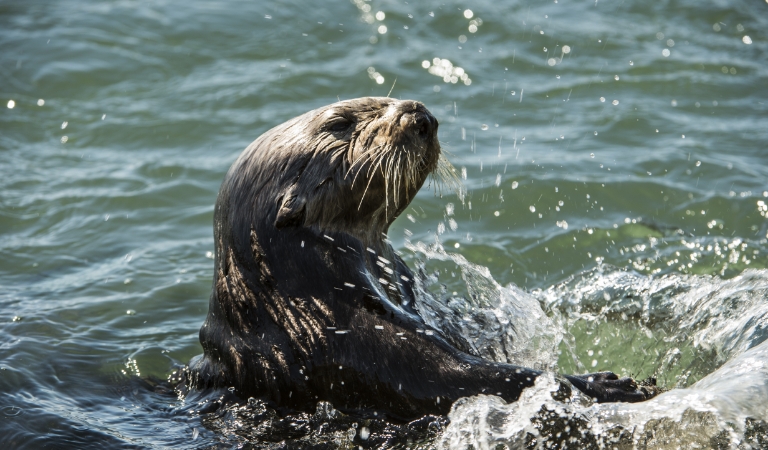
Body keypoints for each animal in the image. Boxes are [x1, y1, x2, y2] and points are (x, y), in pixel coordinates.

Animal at [186, 96, 656, 420]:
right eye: (338, 123)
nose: (420, 114)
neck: (295, 307)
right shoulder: (345, 344)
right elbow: (457, 379)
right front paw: (610, 384)